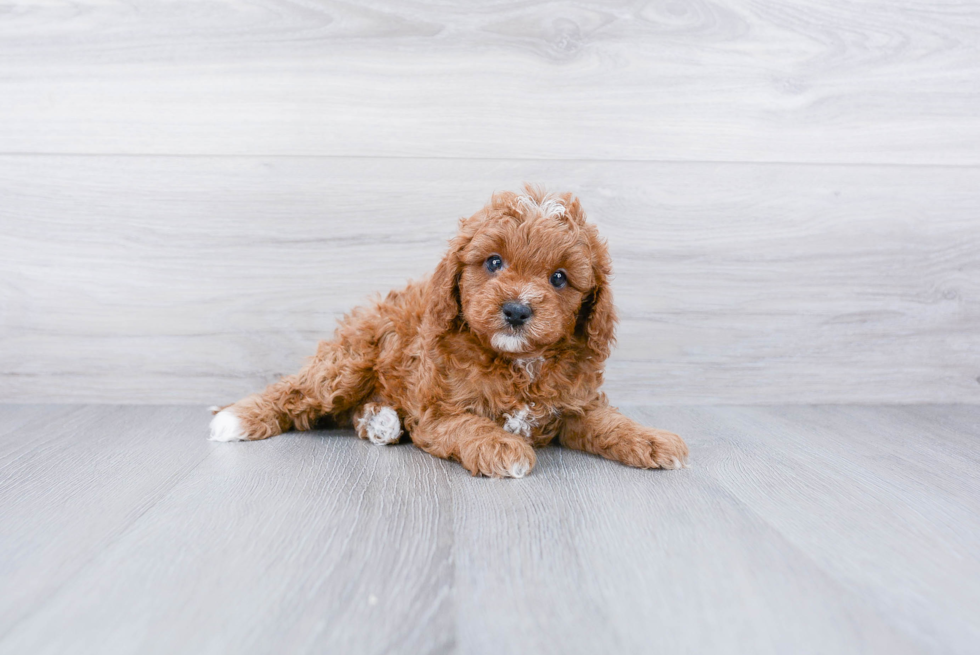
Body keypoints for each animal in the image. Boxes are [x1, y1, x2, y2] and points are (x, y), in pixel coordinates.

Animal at [211, 187, 688, 480]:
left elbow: (609, 421)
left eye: (559, 278)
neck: (518, 362)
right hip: (348, 361)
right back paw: (236, 417)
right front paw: (503, 448)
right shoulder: (439, 410)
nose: (516, 310)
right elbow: (469, 425)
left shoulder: (575, 406)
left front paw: (652, 439)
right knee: (298, 391)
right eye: (494, 262)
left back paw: (380, 421)